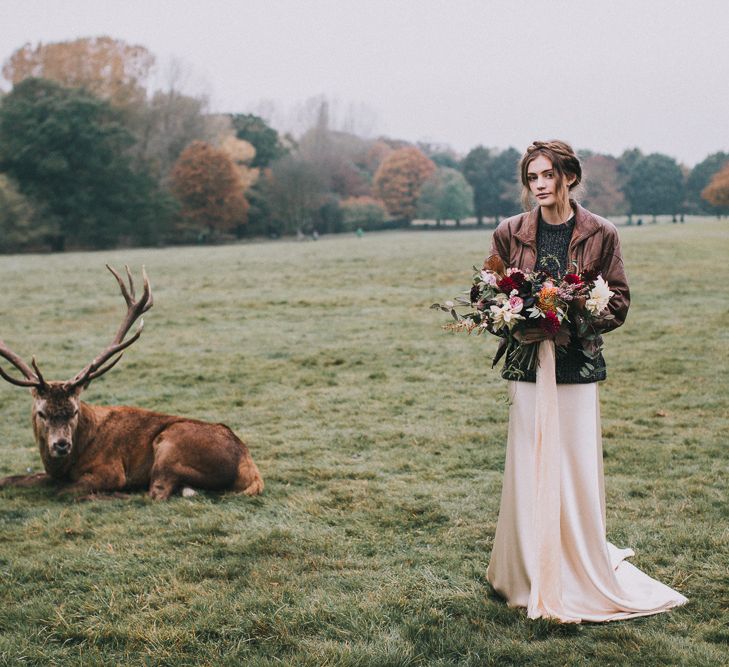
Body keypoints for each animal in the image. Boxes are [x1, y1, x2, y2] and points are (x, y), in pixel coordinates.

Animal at [0, 266, 264, 500]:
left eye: (74, 411)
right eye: (42, 412)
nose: (62, 445)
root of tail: (251, 469)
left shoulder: (110, 469)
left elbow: (62, 492)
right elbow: (10, 479)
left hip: (170, 447)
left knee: (155, 495)